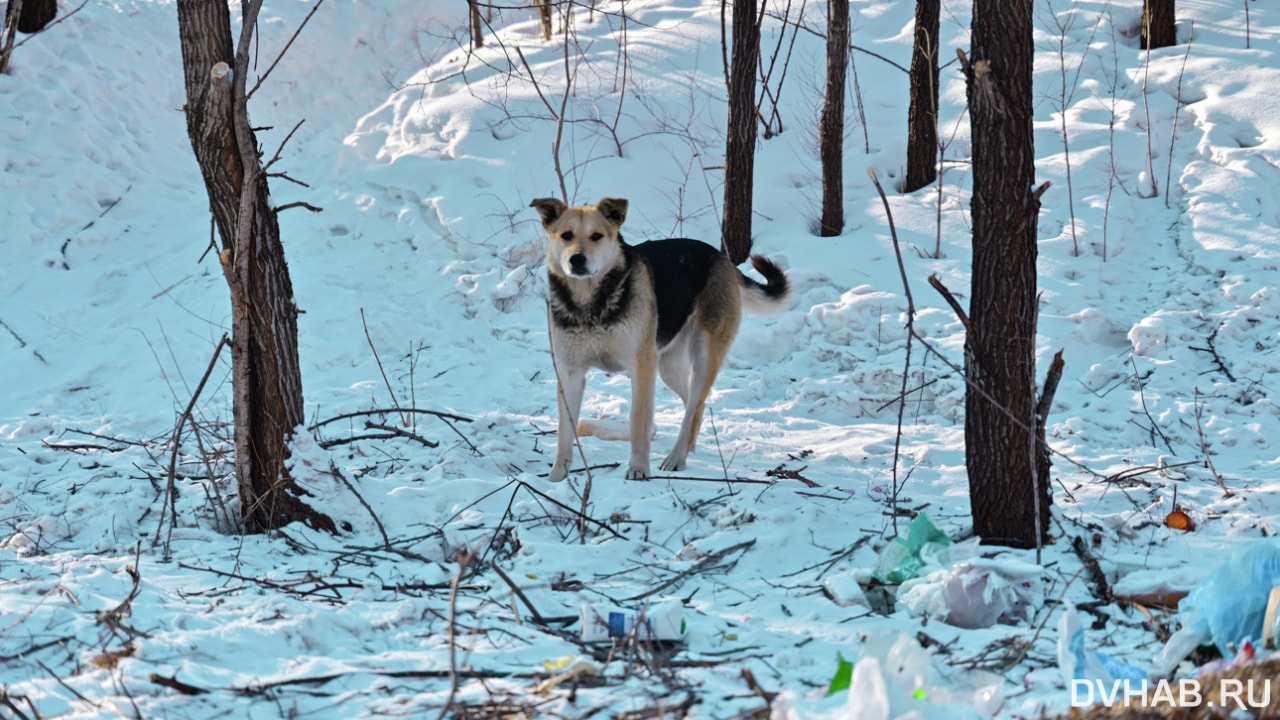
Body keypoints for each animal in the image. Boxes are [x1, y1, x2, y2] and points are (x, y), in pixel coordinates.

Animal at [529, 194, 788, 481]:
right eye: (566, 235)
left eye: (596, 236)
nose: (577, 259)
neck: (590, 305)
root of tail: (721, 258)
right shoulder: (570, 372)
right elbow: (565, 429)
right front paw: (556, 477)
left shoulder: (642, 366)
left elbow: (638, 420)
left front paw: (639, 468)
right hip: (668, 367)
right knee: (695, 407)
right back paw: (688, 449)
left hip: (703, 356)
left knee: (693, 408)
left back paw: (676, 457)